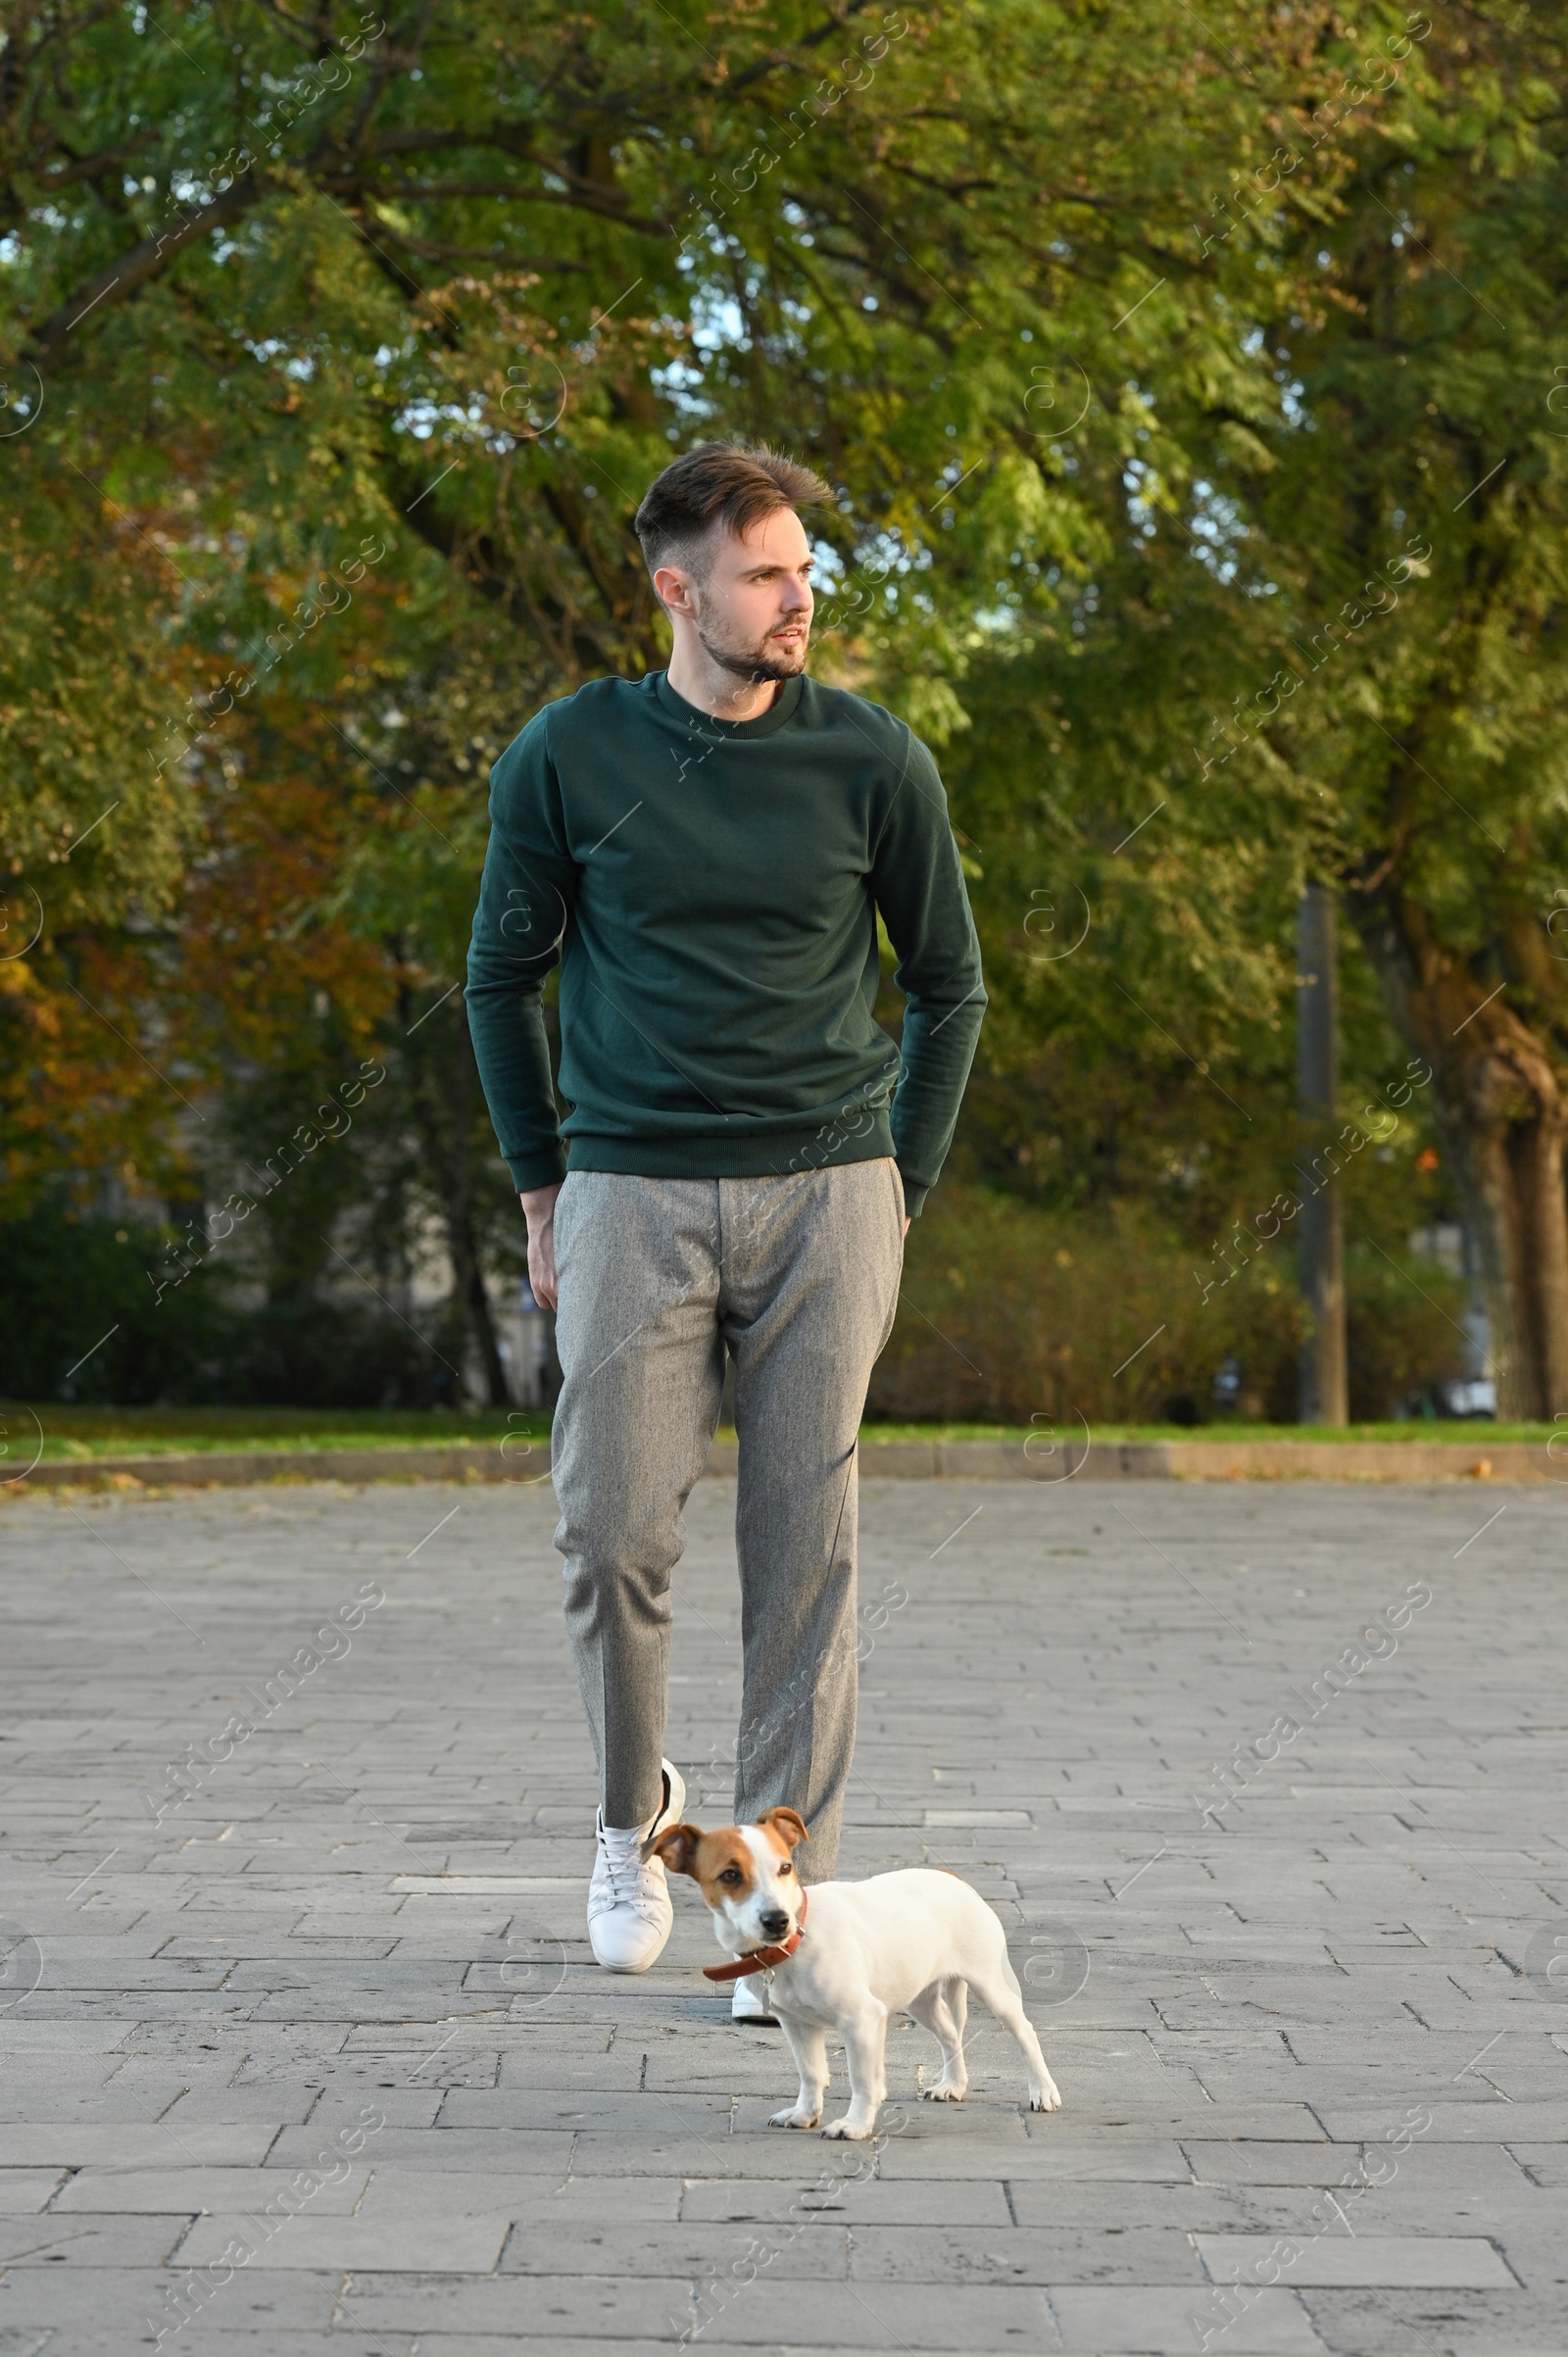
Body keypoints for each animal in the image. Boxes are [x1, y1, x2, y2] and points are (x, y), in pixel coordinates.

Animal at [646, 1800, 1065, 2139]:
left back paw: (1043, 2091)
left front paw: (856, 2125)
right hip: (918, 1998)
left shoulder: (862, 2019)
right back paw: (953, 2086)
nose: (777, 1920)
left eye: (786, 1868)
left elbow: (863, 2080)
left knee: (1025, 2034)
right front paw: (805, 2114)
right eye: (730, 1875)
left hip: (993, 1987)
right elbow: (812, 2073)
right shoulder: (797, 2024)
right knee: (950, 2035)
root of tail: (952, 1877)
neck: (796, 1941)